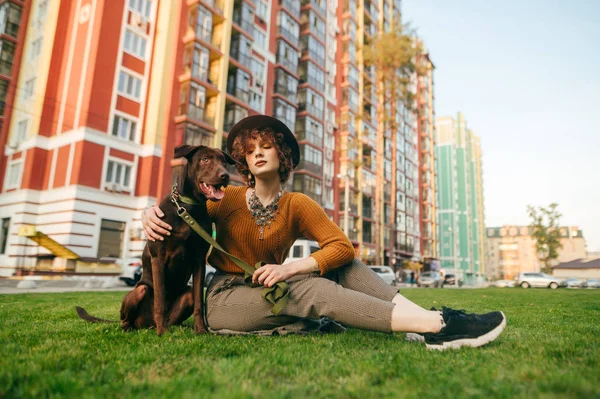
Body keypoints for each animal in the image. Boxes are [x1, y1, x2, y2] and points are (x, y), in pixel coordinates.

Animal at [75, 145, 234, 336]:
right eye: (205, 159)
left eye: (224, 162)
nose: (225, 175)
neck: (188, 207)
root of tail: (146, 324)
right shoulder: (159, 257)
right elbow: (159, 299)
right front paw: (163, 332)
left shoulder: (198, 261)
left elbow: (198, 301)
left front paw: (201, 329)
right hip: (139, 291)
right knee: (127, 319)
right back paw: (139, 328)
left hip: (185, 294)